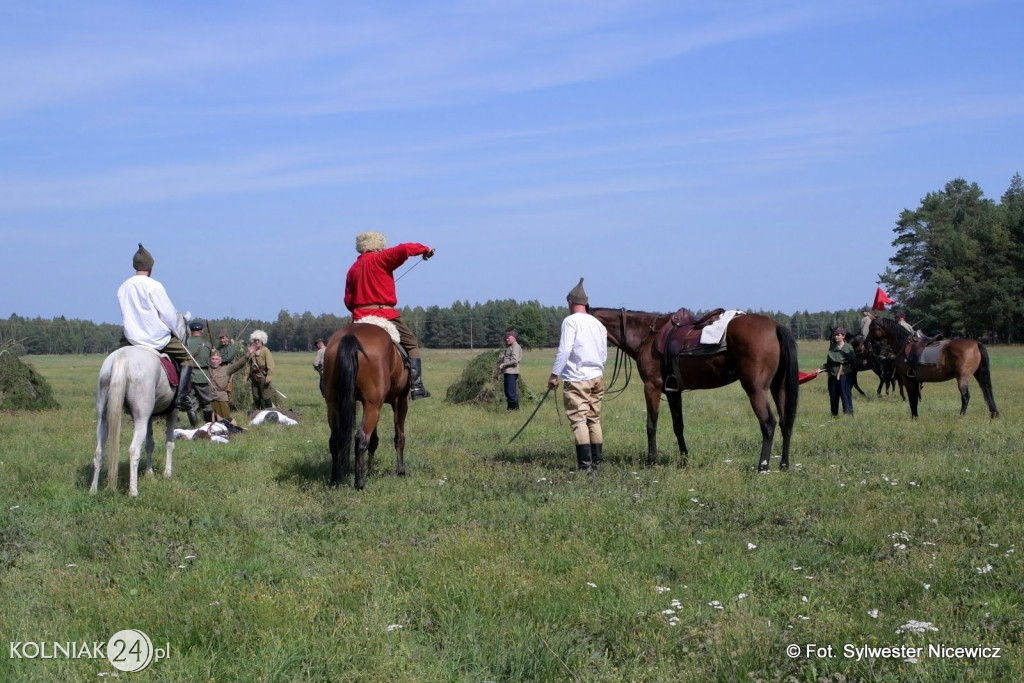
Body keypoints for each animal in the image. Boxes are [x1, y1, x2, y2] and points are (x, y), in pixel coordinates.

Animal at [92, 348, 180, 497]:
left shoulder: (150, 418)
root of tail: (121, 357)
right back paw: (133, 491)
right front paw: (167, 473)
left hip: (104, 417)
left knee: (99, 451)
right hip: (141, 418)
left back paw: (93, 489)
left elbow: (150, 445)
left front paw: (150, 473)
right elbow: (169, 444)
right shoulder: (172, 414)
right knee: (134, 450)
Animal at [325, 321, 409, 489]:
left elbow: (374, 440)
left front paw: (371, 471)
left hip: (334, 404)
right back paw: (360, 483)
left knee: (335, 439)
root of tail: (351, 335)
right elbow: (399, 437)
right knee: (361, 437)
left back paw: (335, 481)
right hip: (373, 405)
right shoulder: (400, 401)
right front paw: (401, 470)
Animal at [593, 309, 798, 473]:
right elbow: (678, 426)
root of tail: (775, 326)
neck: (647, 335)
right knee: (785, 422)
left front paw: (651, 461)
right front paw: (684, 460)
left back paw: (762, 467)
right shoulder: (673, 392)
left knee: (768, 423)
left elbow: (651, 426)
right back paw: (784, 465)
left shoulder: (652, 387)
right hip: (778, 387)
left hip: (755, 389)